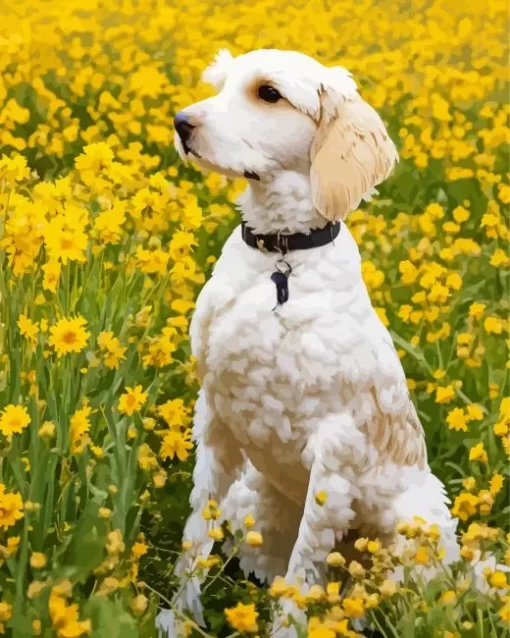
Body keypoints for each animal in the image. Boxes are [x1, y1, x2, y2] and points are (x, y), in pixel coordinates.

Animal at [156, 48, 462, 636]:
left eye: (268, 93)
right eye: (222, 84)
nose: (181, 123)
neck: (281, 256)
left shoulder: (334, 454)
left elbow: (303, 572)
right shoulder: (215, 419)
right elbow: (195, 535)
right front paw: (179, 618)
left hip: (418, 528)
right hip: (251, 499)